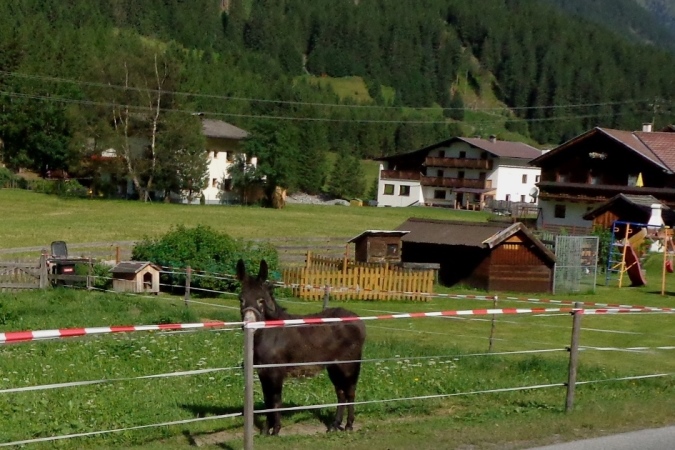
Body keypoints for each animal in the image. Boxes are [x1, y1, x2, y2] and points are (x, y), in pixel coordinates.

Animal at [236, 259, 366, 435]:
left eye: (261, 300)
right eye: (240, 299)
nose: (248, 326)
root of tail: (358, 319)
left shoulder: (276, 372)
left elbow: (275, 400)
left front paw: (275, 430)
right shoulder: (263, 372)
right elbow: (267, 400)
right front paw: (266, 430)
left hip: (348, 364)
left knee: (350, 391)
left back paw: (349, 425)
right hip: (333, 365)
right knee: (341, 392)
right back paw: (334, 425)